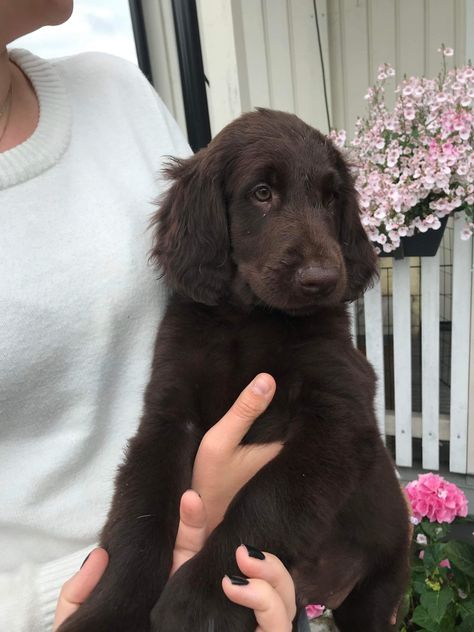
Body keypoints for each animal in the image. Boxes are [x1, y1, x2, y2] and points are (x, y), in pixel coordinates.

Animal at [58, 110, 408, 632]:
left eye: (331, 198)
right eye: (261, 193)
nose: (322, 280)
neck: (248, 317)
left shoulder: (341, 413)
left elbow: (270, 496)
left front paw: (203, 599)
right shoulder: (167, 414)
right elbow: (139, 515)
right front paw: (109, 612)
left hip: (376, 591)